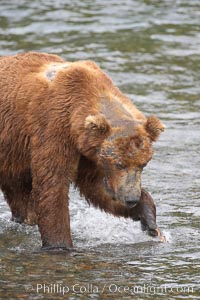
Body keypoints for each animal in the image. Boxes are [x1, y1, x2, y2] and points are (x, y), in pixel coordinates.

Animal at [0, 52, 164, 251]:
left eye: (143, 164)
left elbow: (95, 186)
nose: (131, 198)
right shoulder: (53, 130)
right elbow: (52, 185)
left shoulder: (89, 152)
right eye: (119, 164)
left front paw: (148, 219)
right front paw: (61, 246)